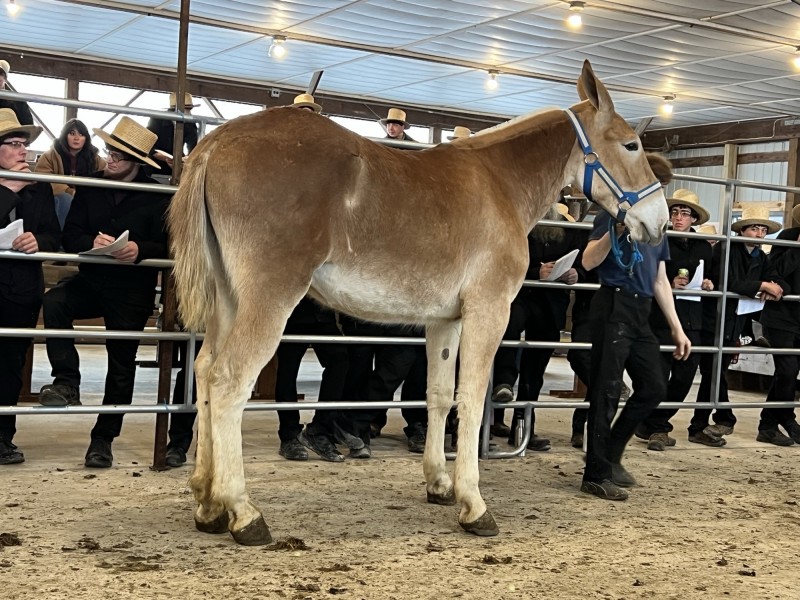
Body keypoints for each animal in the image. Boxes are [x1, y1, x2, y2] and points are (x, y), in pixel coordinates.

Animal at [168, 60, 669, 545]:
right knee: (229, 383)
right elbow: (472, 397)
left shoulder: (444, 321)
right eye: (630, 145)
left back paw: (208, 504)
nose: (658, 222)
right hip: (269, 300)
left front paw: (439, 484)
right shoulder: (489, 311)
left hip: (228, 300)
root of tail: (217, 143)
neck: (500, 183)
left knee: (205, 373)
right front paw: (474, 504)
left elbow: (439, 396)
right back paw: (243, 513)